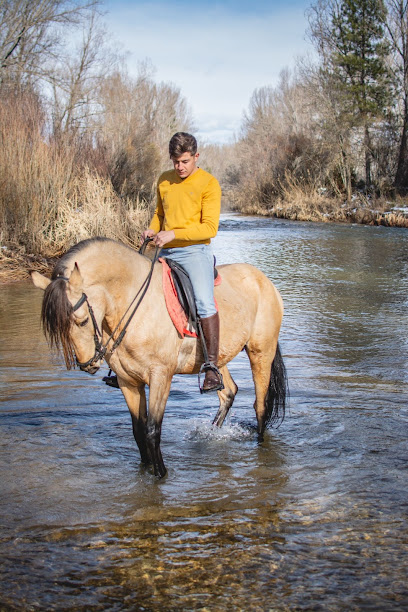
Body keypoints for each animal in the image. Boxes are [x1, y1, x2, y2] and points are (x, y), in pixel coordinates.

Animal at [31, 237, 286, 480]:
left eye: (82, 320)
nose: (88, 364)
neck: (134, 303)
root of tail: (264, 281)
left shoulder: (160, 377)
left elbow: (153, 429)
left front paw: (161, 474)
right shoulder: (127, 381)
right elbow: (138, 429)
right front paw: (146, 468)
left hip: (261, 353)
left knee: (260, 406)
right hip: (219, 359)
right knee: (228, 392)